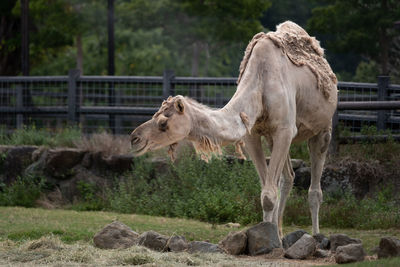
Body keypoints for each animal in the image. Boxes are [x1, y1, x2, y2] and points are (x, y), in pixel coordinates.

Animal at [130, 21, 336, 239]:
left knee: (314, 189)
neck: (260, 83)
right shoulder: (254, 134)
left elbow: (269, 195)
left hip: (323, 128)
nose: (134, 138)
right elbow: (266, 192)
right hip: (274, 138)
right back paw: (280, 233)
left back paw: (316, 235)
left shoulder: (285, 129)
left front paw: (270, 241)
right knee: (287, 178)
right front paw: (269, 235)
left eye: (163, 123)